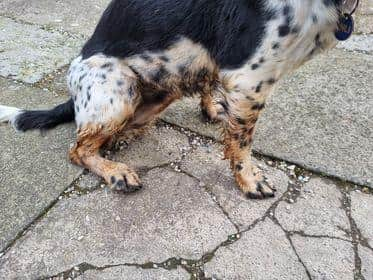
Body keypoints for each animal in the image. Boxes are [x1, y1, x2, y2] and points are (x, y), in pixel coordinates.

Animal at [0, 0, 358, 199]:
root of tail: (73, 93)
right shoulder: (251, 76)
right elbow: (242, 143)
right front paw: (249, 181)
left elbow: (214, 85)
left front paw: (214, 109)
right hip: (119, 88)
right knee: (78, 148)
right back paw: (116, 171)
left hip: (161, 88)